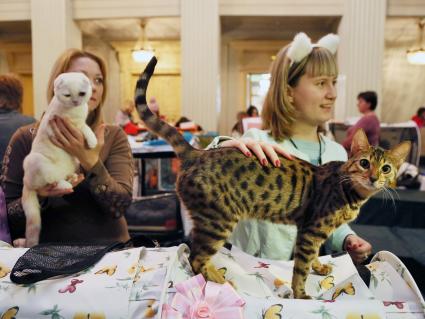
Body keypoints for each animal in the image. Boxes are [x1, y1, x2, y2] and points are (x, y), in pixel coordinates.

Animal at [22, 72, 97, 248]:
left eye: (81, 94)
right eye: (68, 95)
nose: (76, 101)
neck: (75, 111)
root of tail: (26, 182)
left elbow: (85, 126)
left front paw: (92, 140)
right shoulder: (64, 125)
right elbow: (83, 128)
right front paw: (91, 139)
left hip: (73, 162)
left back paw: (71, 177)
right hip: (35, 161)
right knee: (51, 181)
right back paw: (65, 184)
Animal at [133, 57, 410, 300]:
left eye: (386, 168)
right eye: (364, 163)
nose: (373, 177)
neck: (352, 194)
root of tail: (197, 152)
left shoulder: (310, 230)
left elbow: (312, 258)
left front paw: (319, 267)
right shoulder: (311, 230)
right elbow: (300, 268)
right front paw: (301, 295)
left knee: (195, 251)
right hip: (218, 219)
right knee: (195, 256)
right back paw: (221, 280)